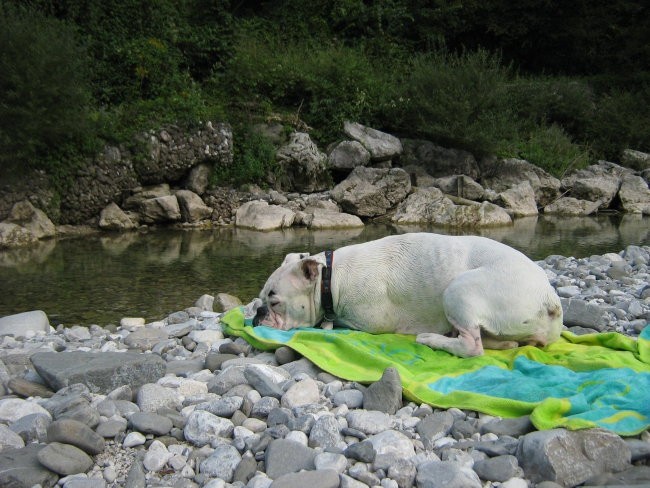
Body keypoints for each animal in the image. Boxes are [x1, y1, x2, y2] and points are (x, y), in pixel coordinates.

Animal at [254, 231, 560, 356]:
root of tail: (550, 300)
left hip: (458, 289)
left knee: (472, 346)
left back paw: (431, 339)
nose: (257, 312)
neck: (330, 278)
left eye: (274, 301)